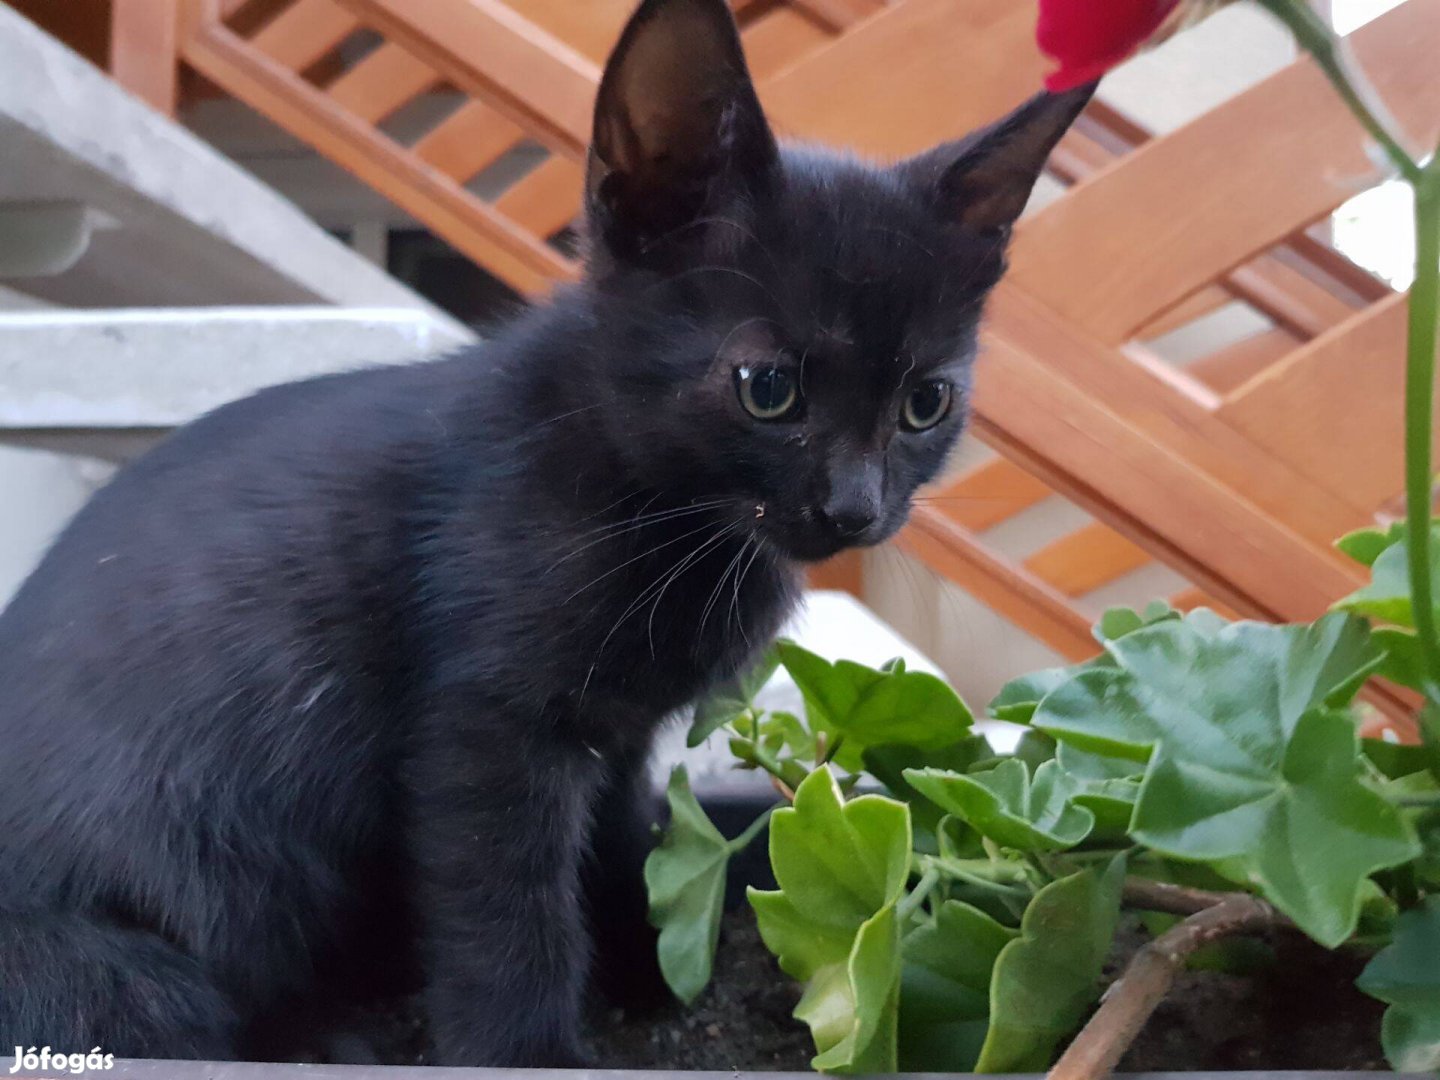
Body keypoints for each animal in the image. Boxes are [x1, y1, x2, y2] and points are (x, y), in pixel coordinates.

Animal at [0, 0, 1082, 1065]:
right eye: (768, 387)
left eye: (925, 403)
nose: (855, 508)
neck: (665, 515)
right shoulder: (488, 733)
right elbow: (507, 916)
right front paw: (535, 1048)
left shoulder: (623, 733)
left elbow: (628, 841)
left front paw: (652, 974)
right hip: (152, 936)